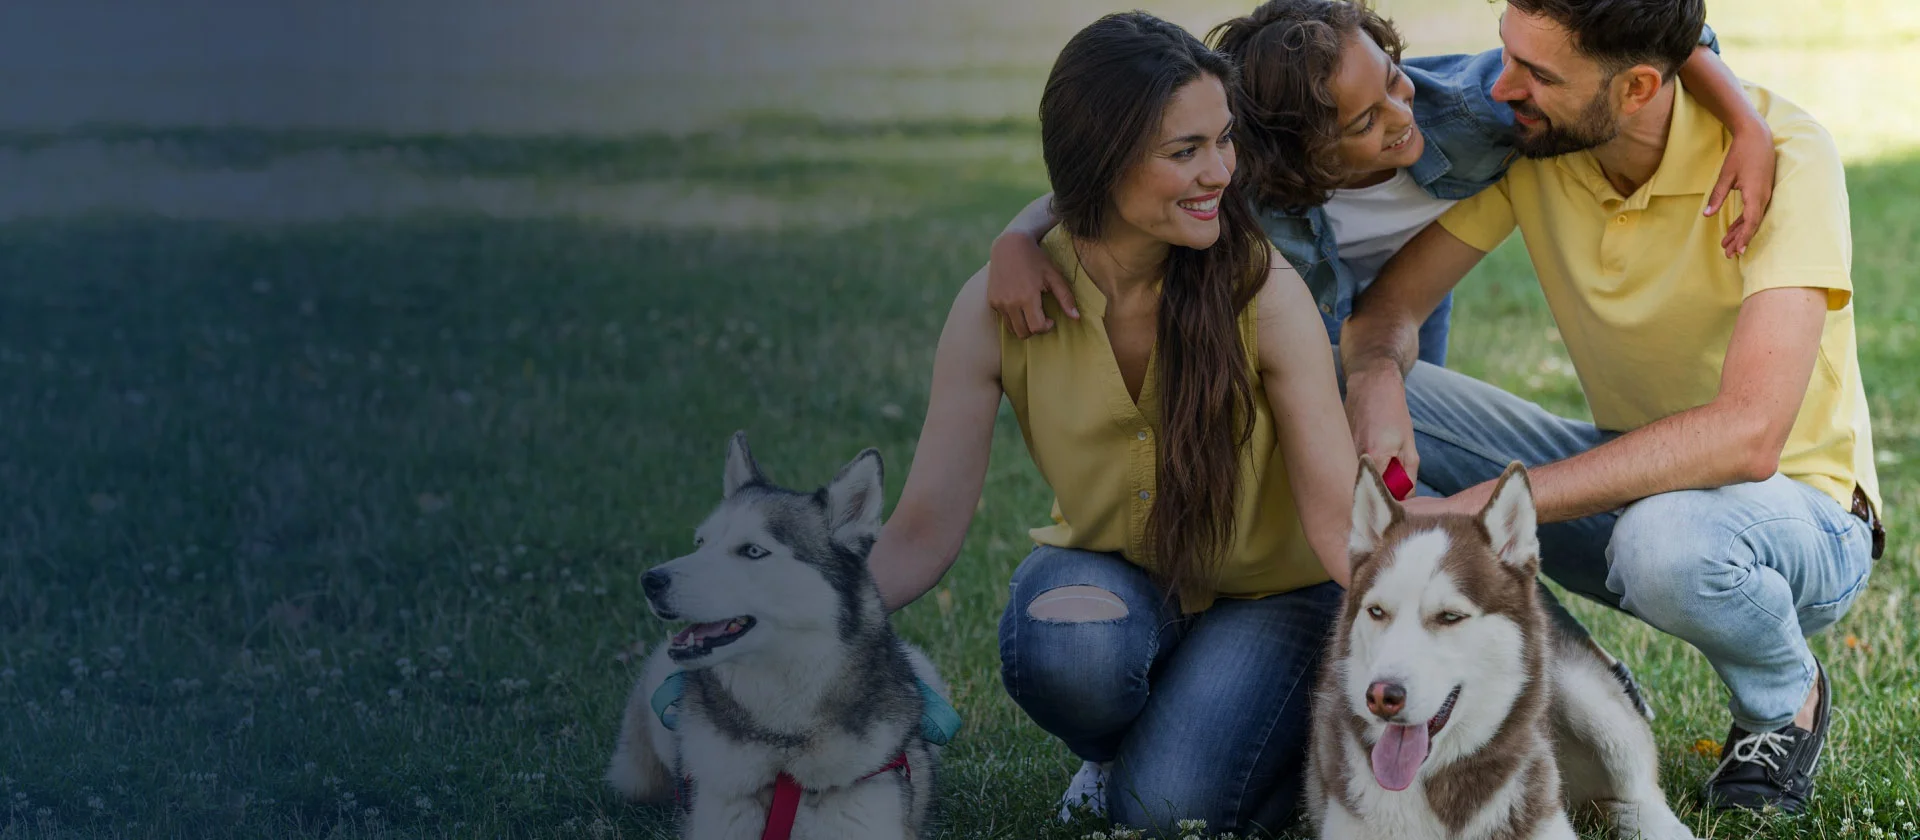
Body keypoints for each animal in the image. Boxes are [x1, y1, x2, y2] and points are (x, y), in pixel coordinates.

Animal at [1305, 457, 1695, 840]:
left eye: (1450, 616)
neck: (1441, 781)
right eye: (1377, 611)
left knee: (1647, 795)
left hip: (1587, 699)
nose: (1382, 696)